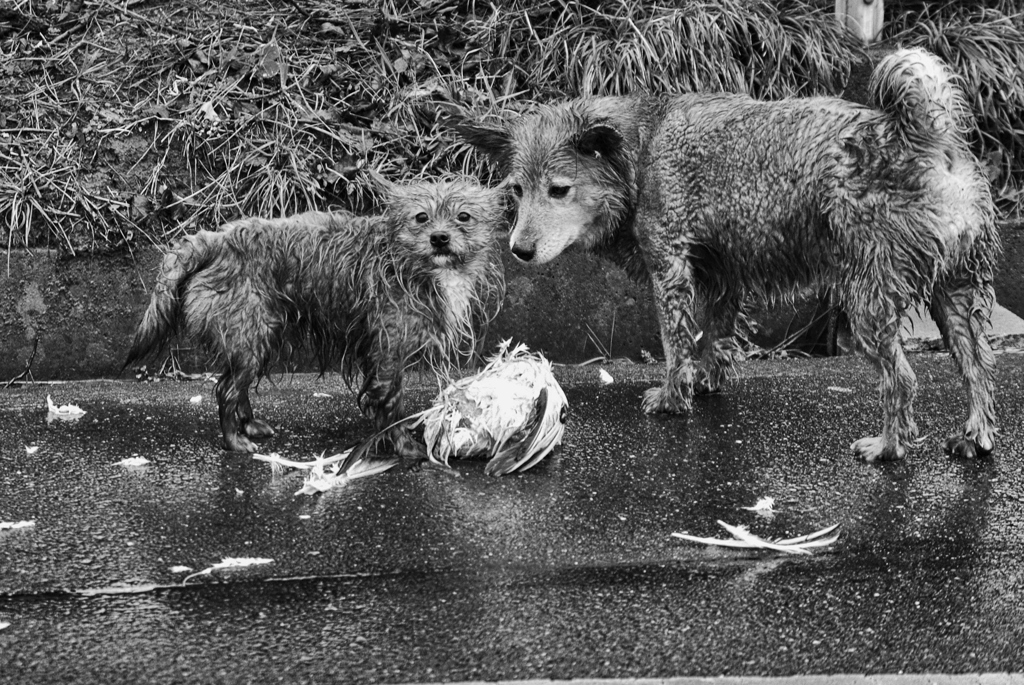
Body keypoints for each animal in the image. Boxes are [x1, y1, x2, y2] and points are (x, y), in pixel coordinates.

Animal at [458, 49, 999, 458]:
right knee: (977, 366)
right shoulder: (722, 277)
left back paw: (888, 446)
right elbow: (715, 338)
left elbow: (675, 343)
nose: (519, 250)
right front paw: (705, 382)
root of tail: (926, 135)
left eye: (559, 190)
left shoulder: (671, 269)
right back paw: (975, 435)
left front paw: (672, 397)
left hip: (868, 304)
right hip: (954, 297)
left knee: (902, 380)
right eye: (517, 190)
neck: (640, 153)